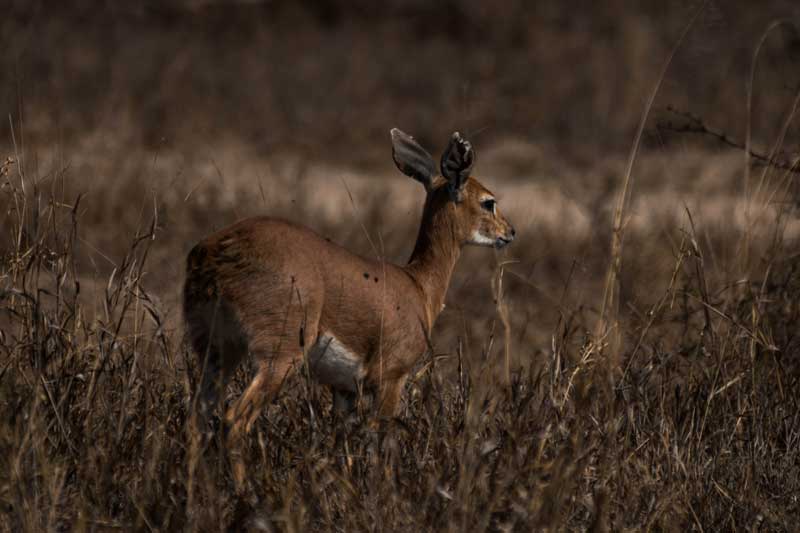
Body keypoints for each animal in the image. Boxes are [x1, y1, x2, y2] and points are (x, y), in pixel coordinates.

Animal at [184, 129, 516, 444]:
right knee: (234, 421)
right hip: (277, 357)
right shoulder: (391, 379)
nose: (510, 232)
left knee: (197, 420)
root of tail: (215, 252)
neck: (418, 286)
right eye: (489, 202)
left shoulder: (345, 389)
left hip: (216, 350)